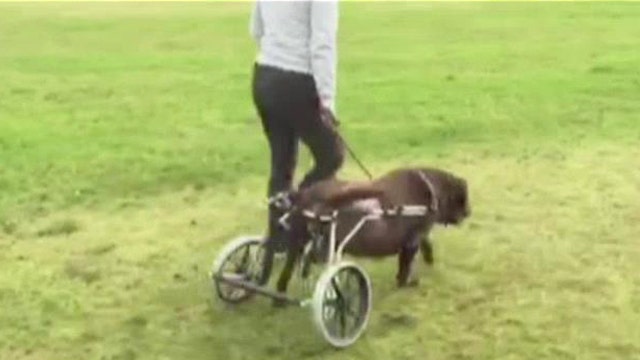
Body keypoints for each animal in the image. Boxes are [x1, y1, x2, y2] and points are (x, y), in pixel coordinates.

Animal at [276, 166, 470, 298]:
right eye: (464, 198)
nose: (469, 212)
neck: (433, 190)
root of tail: (303, 196)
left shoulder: (419, 237)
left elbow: (426, 248)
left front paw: (429, 263)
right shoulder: (412, 240)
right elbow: (406, 266)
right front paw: (406, 283)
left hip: (299, 241)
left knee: (289, 268)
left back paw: (280, 297)